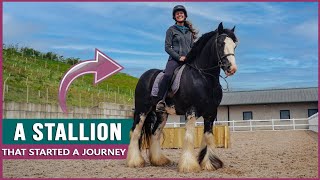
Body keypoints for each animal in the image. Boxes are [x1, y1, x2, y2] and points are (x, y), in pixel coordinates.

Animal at [125, 22, 238, 173]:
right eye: (220, 43)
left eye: (234, 45)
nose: (232, 68)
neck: (203, 77)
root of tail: (144, 76)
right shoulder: (191, 111)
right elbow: (189, 137)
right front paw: (189, 165)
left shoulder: (211, 113)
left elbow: (208, 137)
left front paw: (209, 164)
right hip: (142, 110)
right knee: (136, 131)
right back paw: (135, 161)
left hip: (162, 114)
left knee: (155, 133)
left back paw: (159, 160)